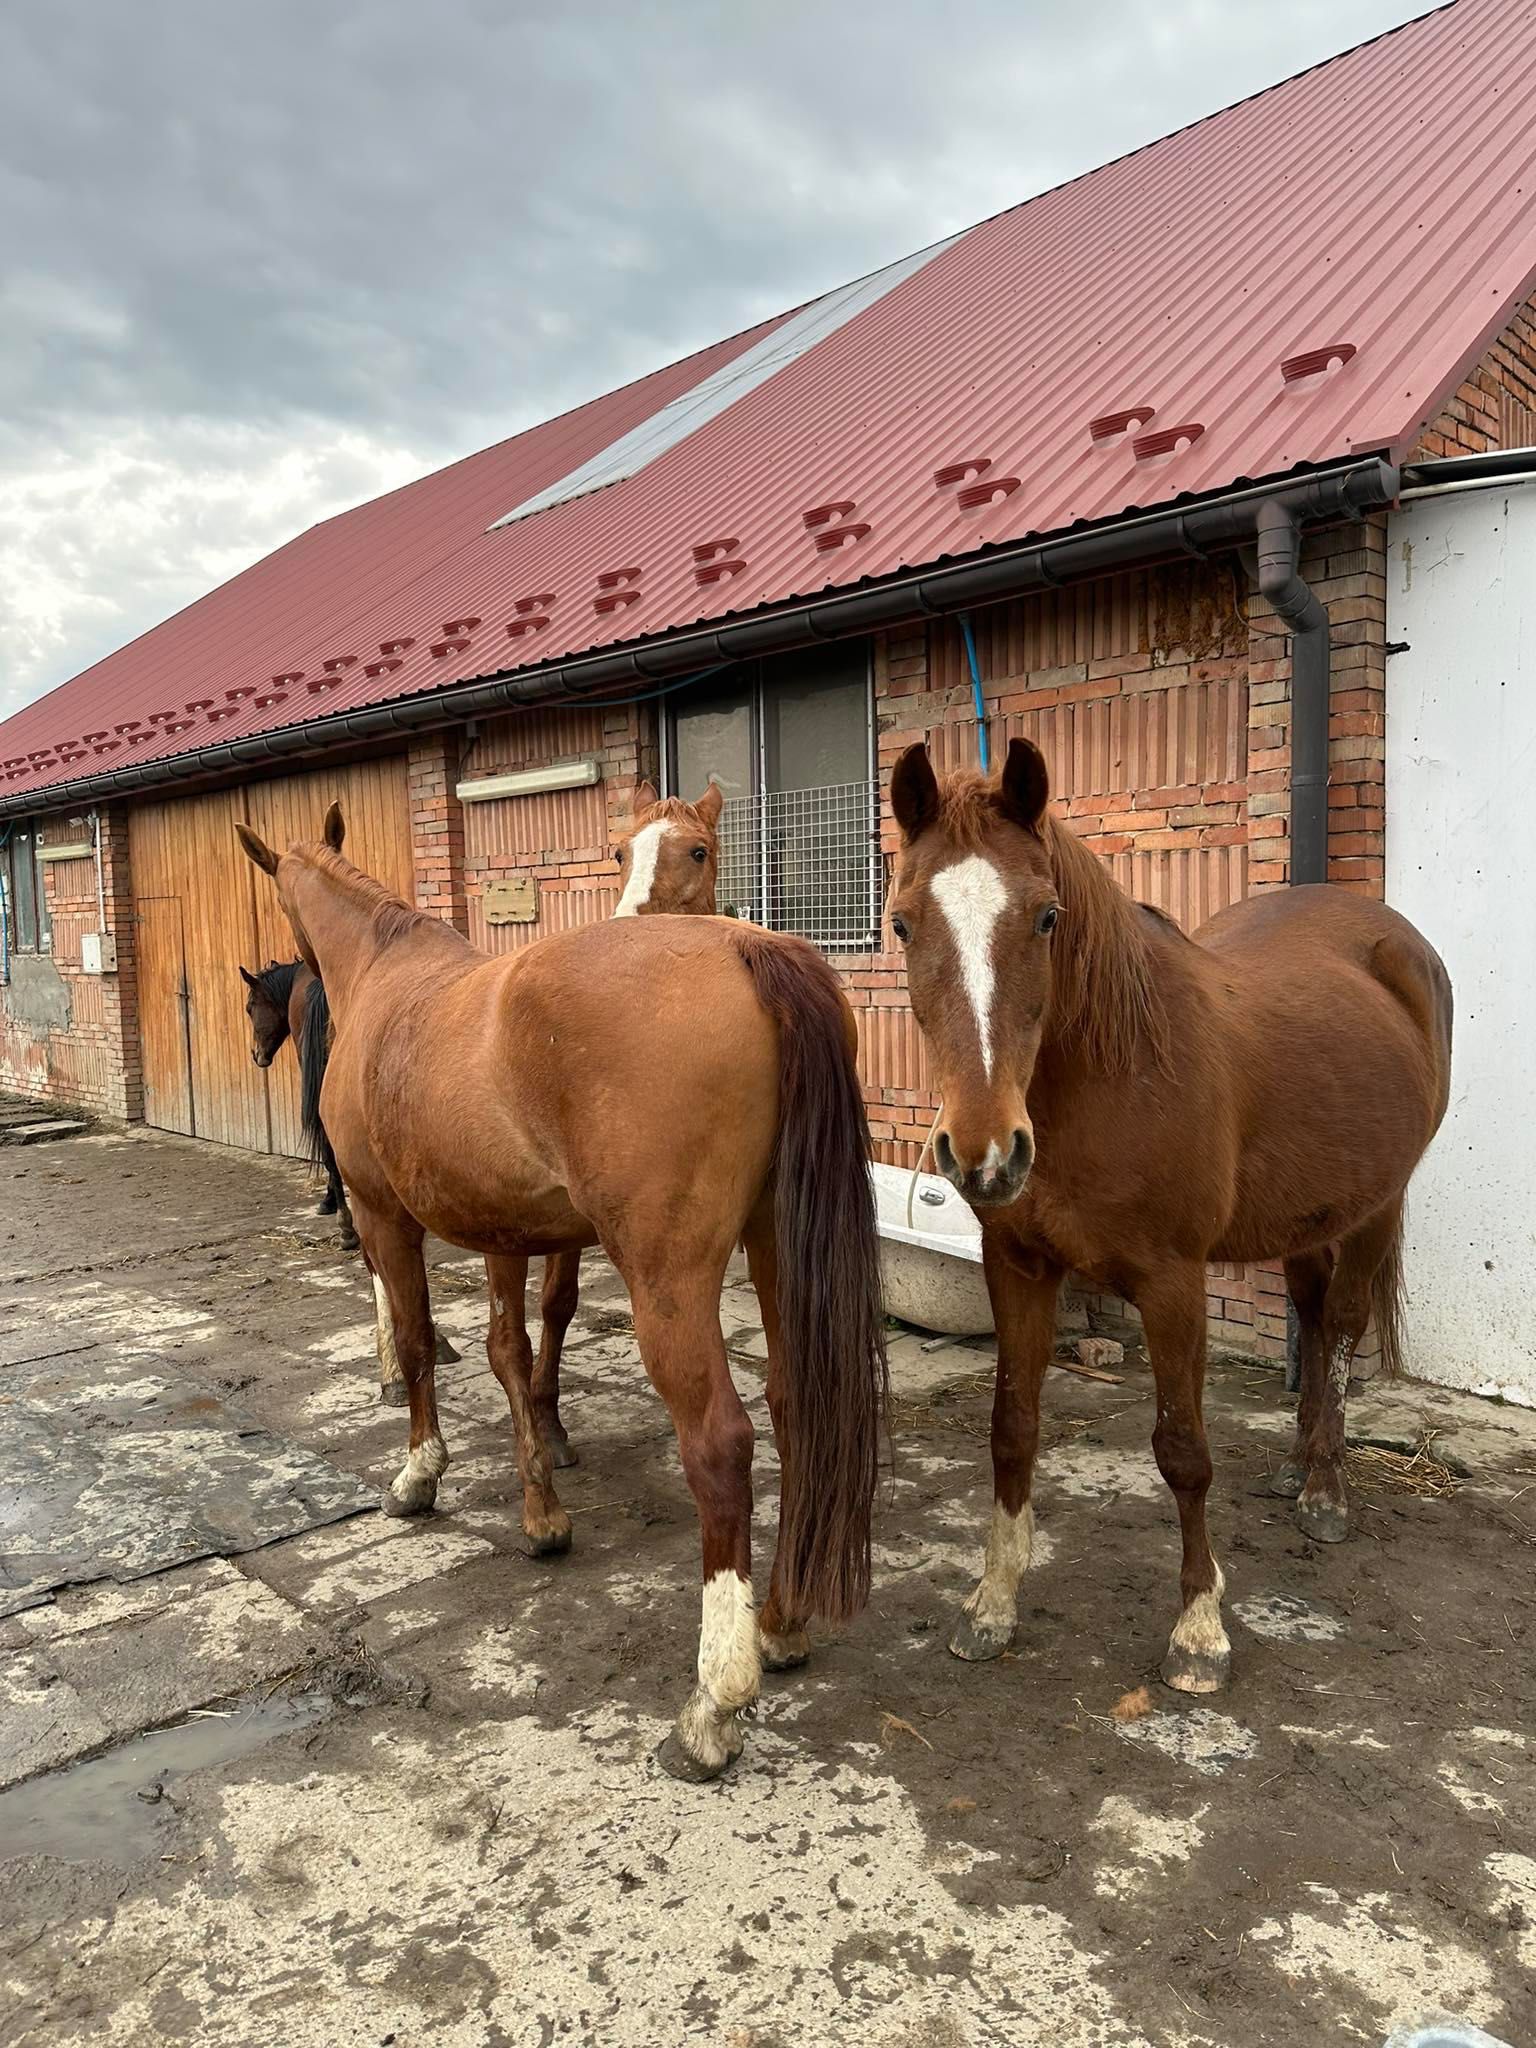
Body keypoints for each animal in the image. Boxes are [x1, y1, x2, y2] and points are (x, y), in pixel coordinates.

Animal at [240, 798, 888, 1777]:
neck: (387, 971)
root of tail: (749, 950)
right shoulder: (510, 1232)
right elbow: (513, 1350)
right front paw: (542, 1503)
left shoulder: (386, 1217)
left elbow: (424, 1344)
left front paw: (421, 1475)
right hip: (776, 1249)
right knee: (794, 1406)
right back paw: (779, 1626)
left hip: (669, 1283)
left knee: (722, 1445)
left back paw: (715, 1701)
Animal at [888, 737, 1458, 1695]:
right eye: (900, 923)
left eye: (1046, 918)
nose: (984, 1152)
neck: (1111, 1073)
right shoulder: (1018, 1265)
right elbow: (1012, 1432)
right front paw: (993, 1605)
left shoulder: (1172, 1283)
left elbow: (1184, 1451)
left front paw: (1198, 1631)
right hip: (1306, 1217)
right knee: (1312, 1317)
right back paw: (1295, 1468)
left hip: (1378, 1206)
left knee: (1342, 1329)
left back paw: (1326, 1494)